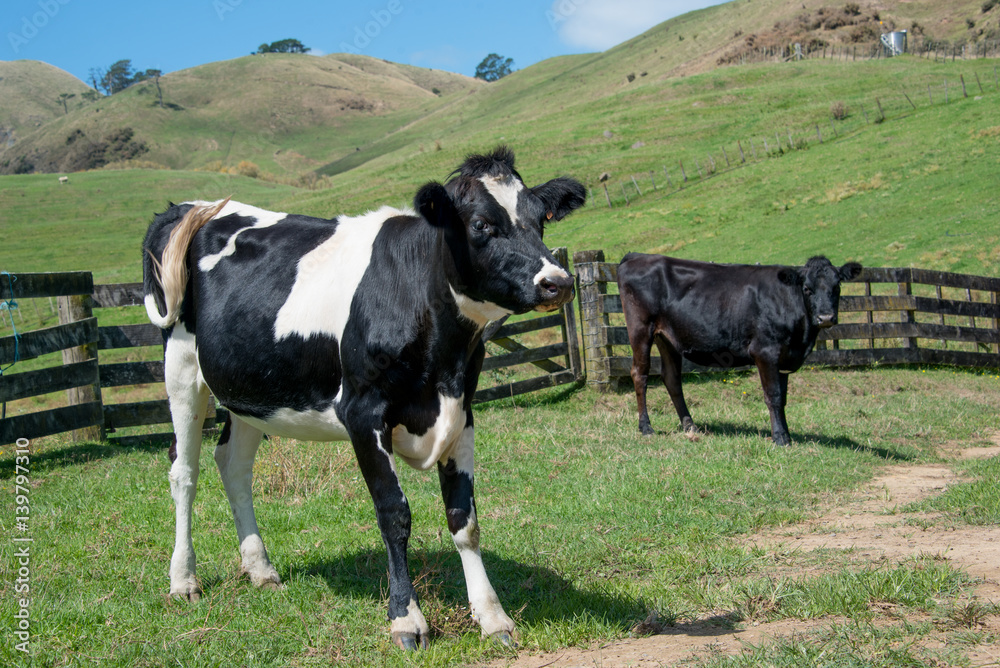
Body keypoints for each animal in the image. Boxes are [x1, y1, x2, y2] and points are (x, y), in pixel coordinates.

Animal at [145, 146, 588, 648]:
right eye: (481, 225)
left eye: (540, 219)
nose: (558, 281)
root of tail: (190, 207)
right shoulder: (362, 412)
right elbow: (394, 514)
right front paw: (407, 619)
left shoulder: (462, 412)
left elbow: (465, 519)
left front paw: (492, 616)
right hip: (181, 364)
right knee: (184, 472)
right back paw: (183, 580)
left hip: (251, 389)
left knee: (234, 465)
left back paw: (260, 569)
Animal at [616, 253, 860, 446]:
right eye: (807, 289)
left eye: (837, 287)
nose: (826, 317)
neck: (802, 338)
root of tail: (637, 256)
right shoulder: (765, 352)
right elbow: (773, 396)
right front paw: (780, 438)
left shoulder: (784, 357)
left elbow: (783, 398)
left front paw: (787, 435)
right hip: (641, 329)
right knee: (640, 374)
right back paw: (646, 427)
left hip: (667, 337)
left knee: (672, 378)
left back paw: (690, 426)